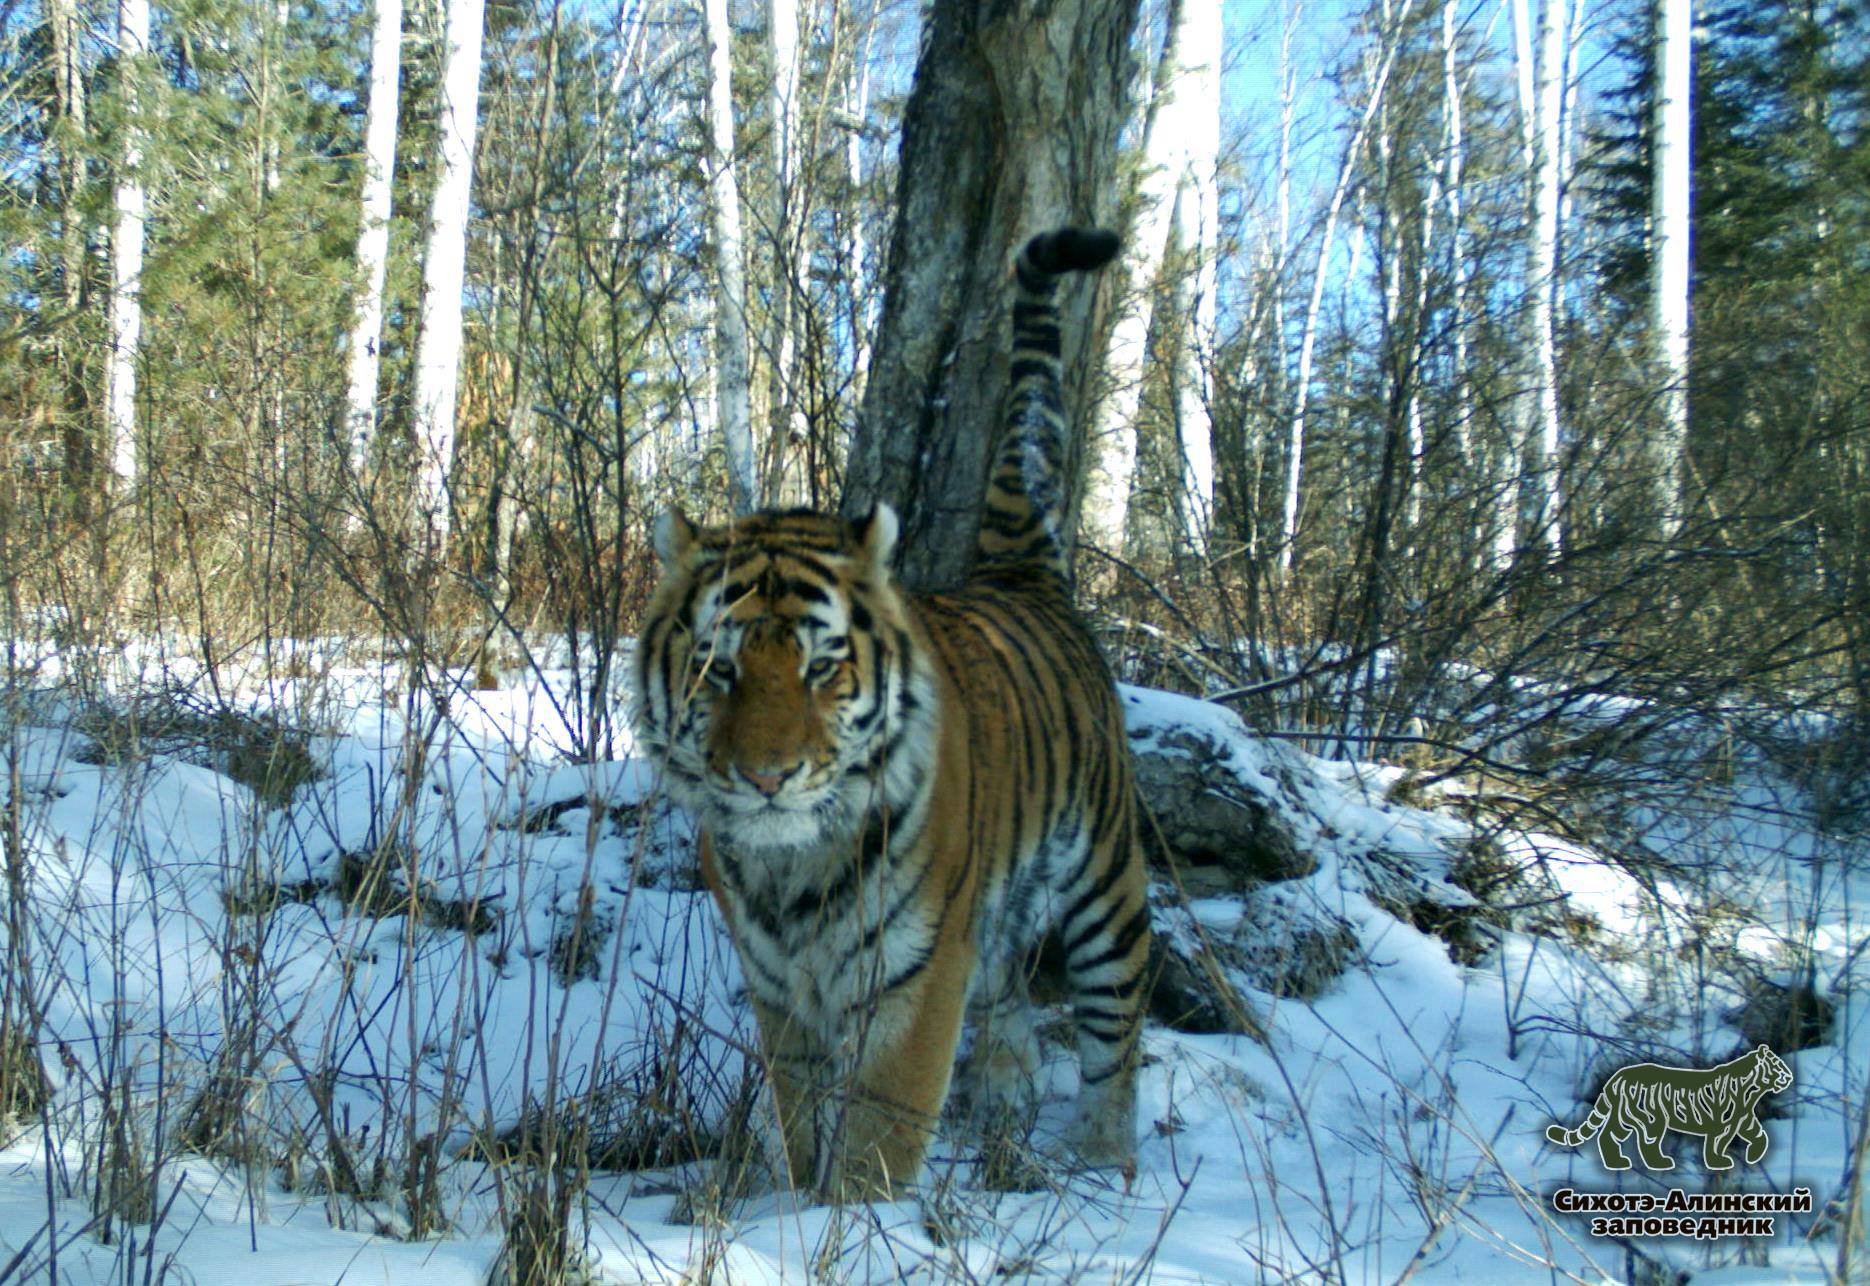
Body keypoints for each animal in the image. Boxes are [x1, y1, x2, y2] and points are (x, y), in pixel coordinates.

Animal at [632, 226, 1151, 1203]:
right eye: (718, 668)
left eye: (822, 666)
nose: (765, 777)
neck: (792, 865)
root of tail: (1022, 574)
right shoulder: (779, 987)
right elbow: (800, 1114)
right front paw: (797, 1206)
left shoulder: (919, 968)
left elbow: (880, 1130)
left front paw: (855, 1220)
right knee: (1010, 994)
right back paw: (1005, 1105)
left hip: (1108, 882)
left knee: (1117, 1029)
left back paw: (1103, 1161)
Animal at [1548, 1046, 1795, 1173]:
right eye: (1777, 1066)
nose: (1789, 1077)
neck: (1752, 1090)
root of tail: (1617, 1077)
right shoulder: (1719, 1124)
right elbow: (1715, 1145)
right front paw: (1719, 1162)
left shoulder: (1743, 1120)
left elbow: (1759, 1135)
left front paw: (1754, 1156)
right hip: (1652, 1120)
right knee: (1647, 1144)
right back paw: (1660, 1163)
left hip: (1623, 1118)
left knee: (1607, 1136)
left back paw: (1617, 1162)